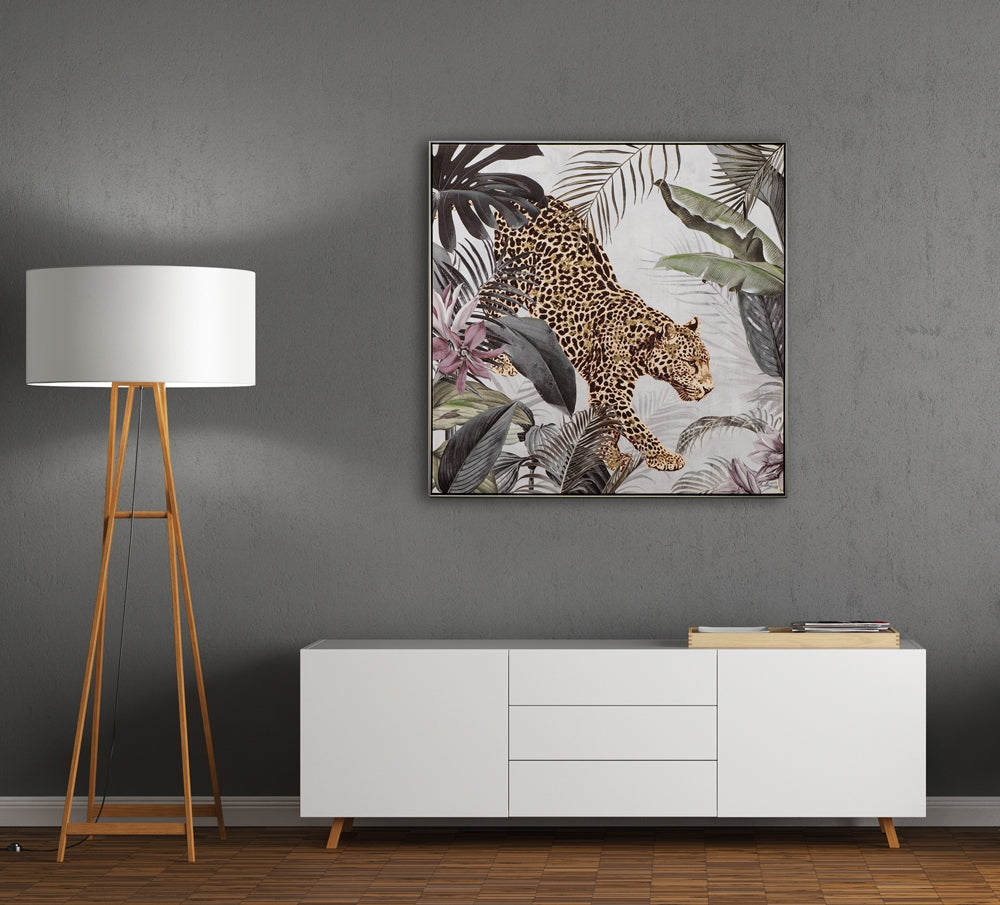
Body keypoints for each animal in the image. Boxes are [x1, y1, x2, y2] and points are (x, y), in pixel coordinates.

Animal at [488, 195, 713, 472]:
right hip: (514, 276)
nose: (710, 389)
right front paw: (664, 457)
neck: (641, 342)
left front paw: (608, 455)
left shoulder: (603, 390)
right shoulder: (610, 389)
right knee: (489, 303)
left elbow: (606, 425)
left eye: (707, 362)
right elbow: (634, 427)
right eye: (691, 363)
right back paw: (498, 359)